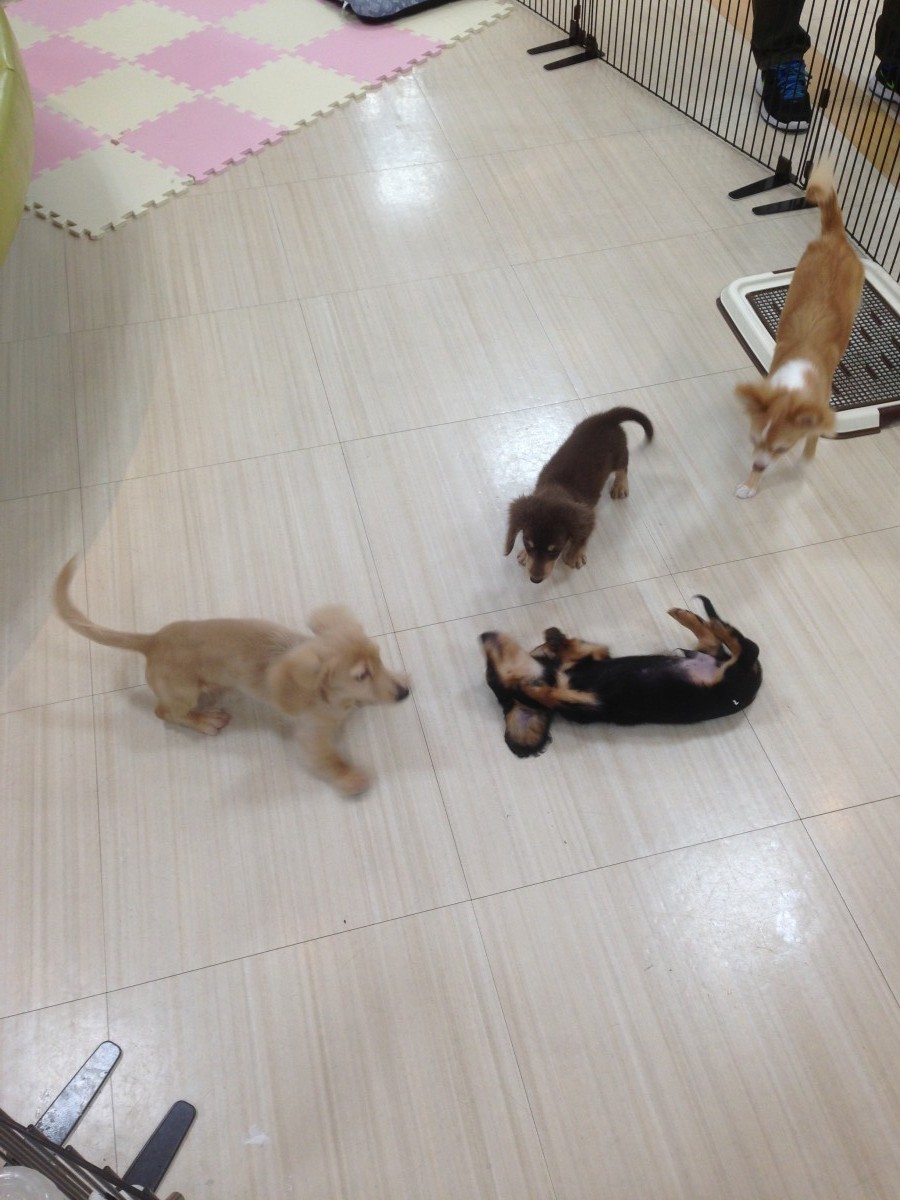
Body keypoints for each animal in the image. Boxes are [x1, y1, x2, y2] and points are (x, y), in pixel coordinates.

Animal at [53, 557, 409, 795]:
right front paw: (351, 777)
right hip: (183, 693)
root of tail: (152, 640)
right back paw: (204, 720)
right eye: (361, 675)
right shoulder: (310, 736)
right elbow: (329, 759)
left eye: (379, 657)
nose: (405, 692)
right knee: (164, 712)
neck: (330, 698)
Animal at [481, 596, 761, 756]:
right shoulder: (587, 701)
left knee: (731, 643)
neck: (554, 673)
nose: (483, 636)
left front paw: (553, 638)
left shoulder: (596, 654)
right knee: (744, 645)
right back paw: (707, 621)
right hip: (730, 675)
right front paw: (529, 687)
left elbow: (572, 649)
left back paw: (688, 616)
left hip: (718, 662)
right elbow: (548, 695)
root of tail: (754, 686)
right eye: (491, 672)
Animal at [505, 407, 654, 583]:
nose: (535, 579)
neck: (555, 490)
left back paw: (620, 486)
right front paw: (524, 556)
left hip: (619, 455)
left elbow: (583, 536)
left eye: (554, 551)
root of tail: (606, 417)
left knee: (623, 468)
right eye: (528, 545)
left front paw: (575, 555)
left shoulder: (588, 516)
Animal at [735, 158, 864, 498]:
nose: (758, 465)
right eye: (753, 441)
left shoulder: (817, 411)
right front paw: (751, 484)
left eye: (783, 449)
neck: (794, 388)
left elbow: (814, 435)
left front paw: (805, 458)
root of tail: (835, 236)